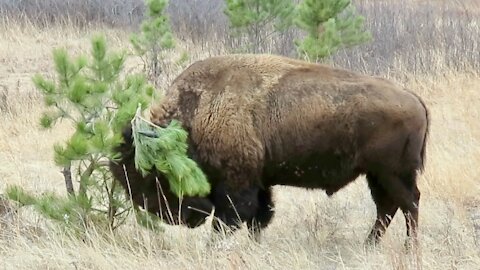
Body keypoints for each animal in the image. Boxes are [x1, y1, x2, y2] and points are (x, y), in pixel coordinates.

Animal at [110, 53, 430, 247]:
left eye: (153, 174)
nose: (184, 218)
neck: (198, 110)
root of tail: (414, 98)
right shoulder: (259, 182)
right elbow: (259, 218)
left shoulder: (237, 187)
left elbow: (231, 220)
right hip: (376, 175)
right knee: (388, 208)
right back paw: (369, 246)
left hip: (393, 174)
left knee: (409, 204)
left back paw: (408, 249)